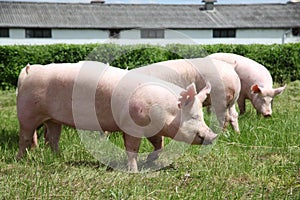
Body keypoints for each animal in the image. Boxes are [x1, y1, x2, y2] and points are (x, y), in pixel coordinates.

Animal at [16, 61, 216, 172]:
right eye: (194, 117)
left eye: (201, 116)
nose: (213, 135)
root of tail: (28, 71)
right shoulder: (132, 126)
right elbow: (132, 149)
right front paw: (134, 171)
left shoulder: (153, 129)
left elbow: (158, 144)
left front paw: (150, 160)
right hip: (27, 113)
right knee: (25, 137)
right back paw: (20, 160)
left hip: (52, 118)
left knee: (53, 137)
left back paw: (59, 157)